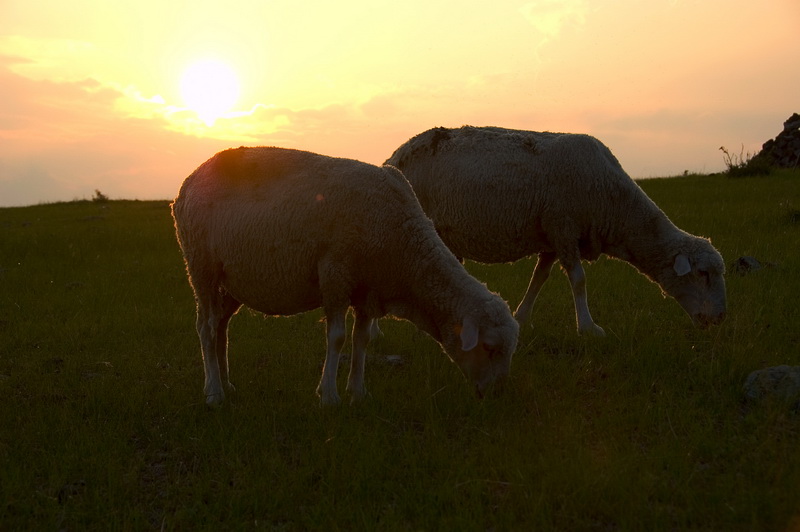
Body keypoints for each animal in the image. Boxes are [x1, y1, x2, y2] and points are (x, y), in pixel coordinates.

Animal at [170, 145, 520, 408]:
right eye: (490, 347)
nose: (497, 396)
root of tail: (189, 182)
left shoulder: (368, 290)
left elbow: (360, 339)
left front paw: (358, 392)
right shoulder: (335, 274)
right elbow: (337, 337)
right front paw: (329, 396)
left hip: (230, 283)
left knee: (221, 327)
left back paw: (227, 384)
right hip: (201, 265)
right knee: (206, 327)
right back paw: (214, 393)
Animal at [384, 125, 728, 336]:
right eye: (703, 274)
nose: (720, 319)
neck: (616, 205)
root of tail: (394, 156)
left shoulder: (550, 235)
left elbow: (539, 278)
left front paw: (521, 318)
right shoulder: (563, 227)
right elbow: (579, 280)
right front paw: (588, 328)